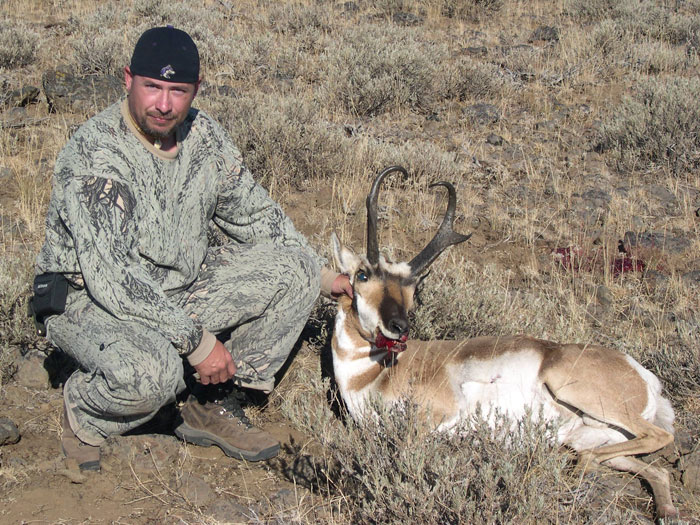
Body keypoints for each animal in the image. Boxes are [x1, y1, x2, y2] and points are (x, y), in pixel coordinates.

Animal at [332, 166, 680, 516]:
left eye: (413, 286)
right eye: (362, 275)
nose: (399, 327)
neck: (371, 374)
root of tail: (642, 374)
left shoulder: (434, 418)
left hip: (575, 391)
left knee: (656, 438)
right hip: (599, 438)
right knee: (655, 469)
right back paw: (665, 510)